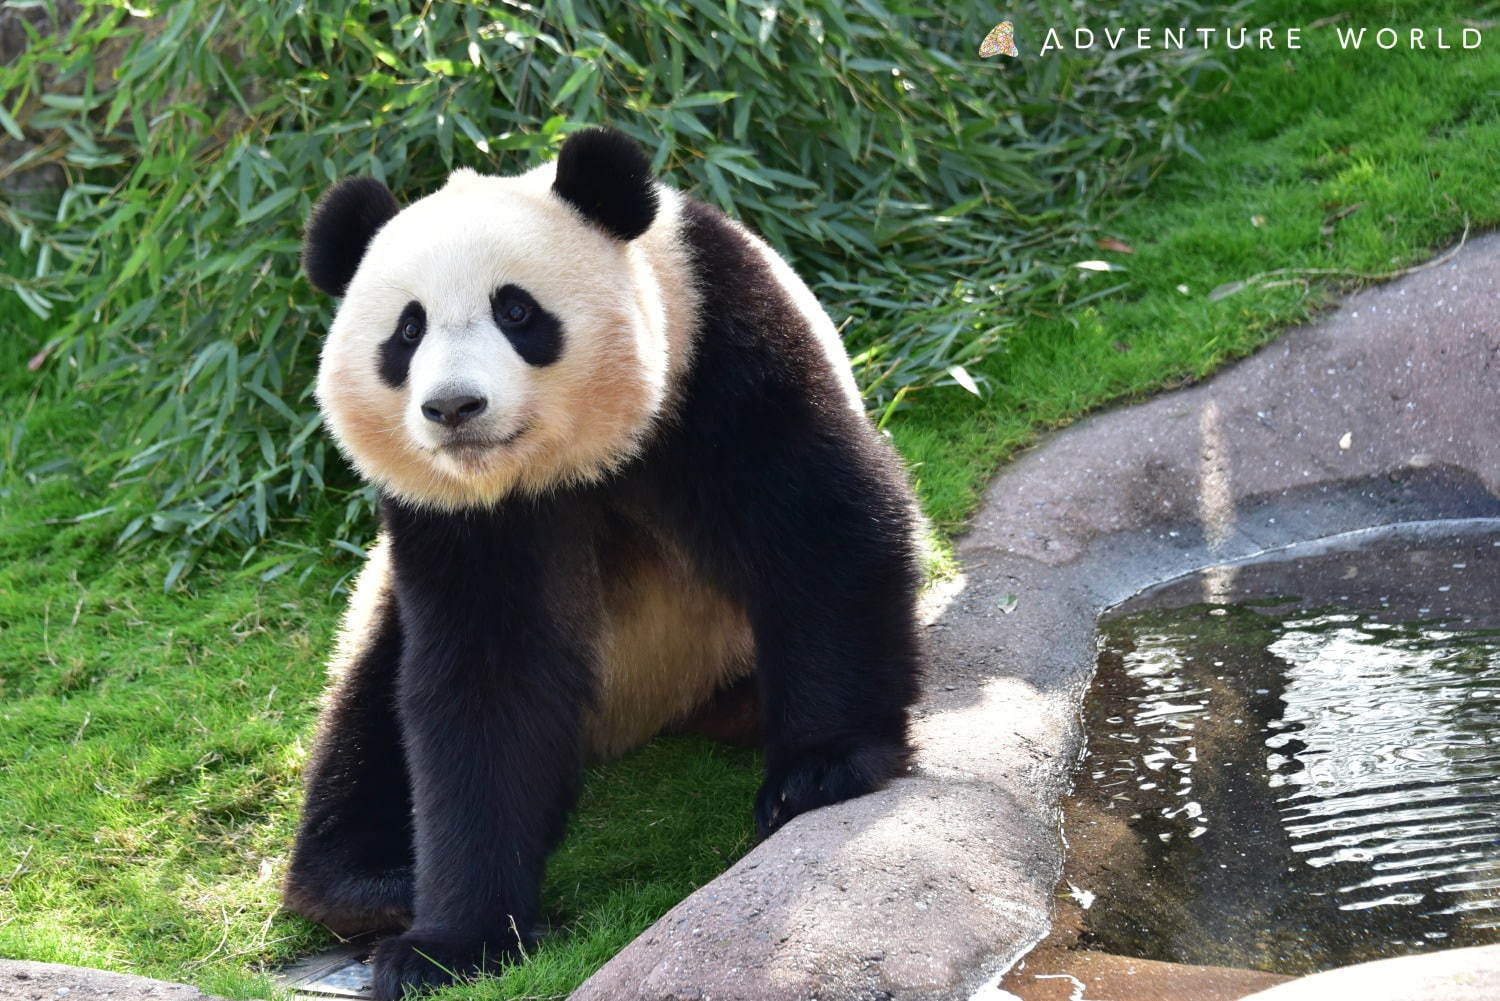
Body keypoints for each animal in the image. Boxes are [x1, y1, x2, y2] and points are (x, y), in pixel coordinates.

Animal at [276, 127, 918, 1001]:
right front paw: (451, 944)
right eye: (406, 333)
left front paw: (822, 769)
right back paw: (368, 883)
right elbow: (484, 678)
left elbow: (819, 530)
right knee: (369, 703)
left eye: (516, 310)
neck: (562, 466)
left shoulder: (715, 351)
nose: (453, 408)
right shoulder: (455, 518)